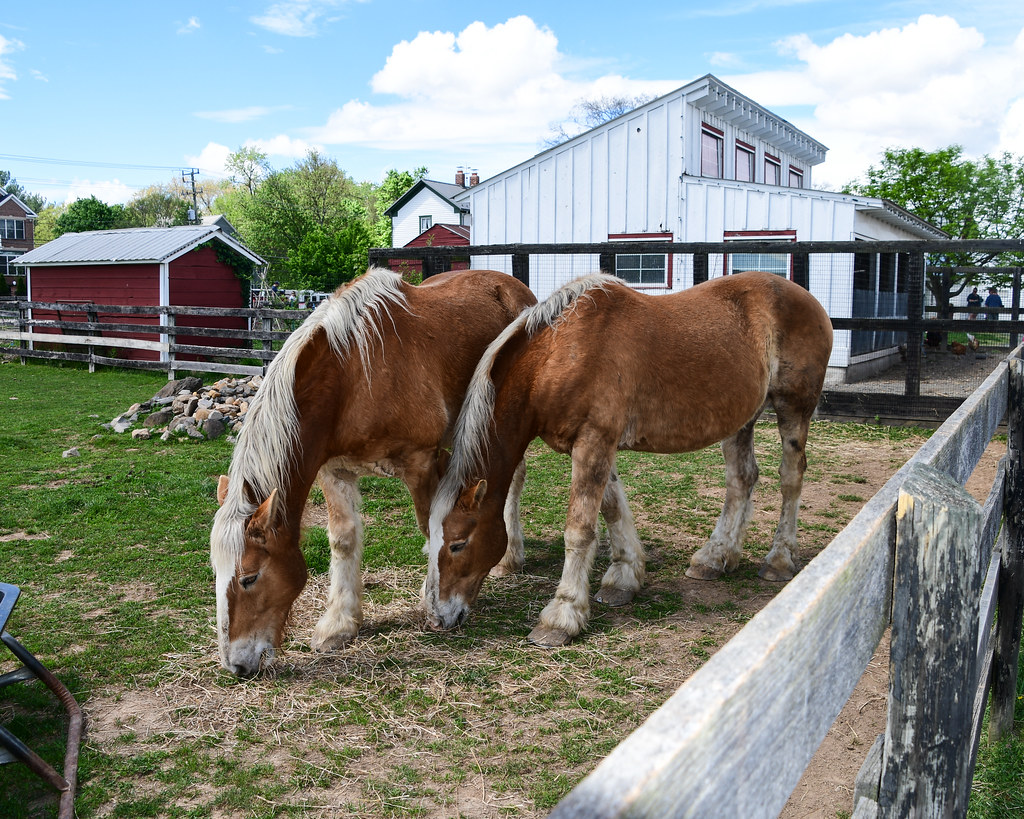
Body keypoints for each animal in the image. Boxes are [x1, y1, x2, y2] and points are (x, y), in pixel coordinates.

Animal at [210, 267, 537, 677]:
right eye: (215, 572)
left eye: (249, 578)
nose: (236, 665)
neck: (353, 377)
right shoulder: (333, 471)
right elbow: (343, 540)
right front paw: (340, 624)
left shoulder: (420, 463)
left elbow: (433, 530)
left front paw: (433, 599)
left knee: (514, 479)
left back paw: (511, 557)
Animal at [423, 270, 833, 647]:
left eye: (458, 544)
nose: (438, 617)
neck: (559, 354)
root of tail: (806, 298)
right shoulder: (593, 445)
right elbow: (612, 508)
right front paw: (624, 578)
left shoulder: (594, 442)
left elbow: (580, 528)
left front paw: (563, 614)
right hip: (741, 419)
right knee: (741, 479)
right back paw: (717, 557)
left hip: (794, 407)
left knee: (790, 477)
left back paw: (779, 559)